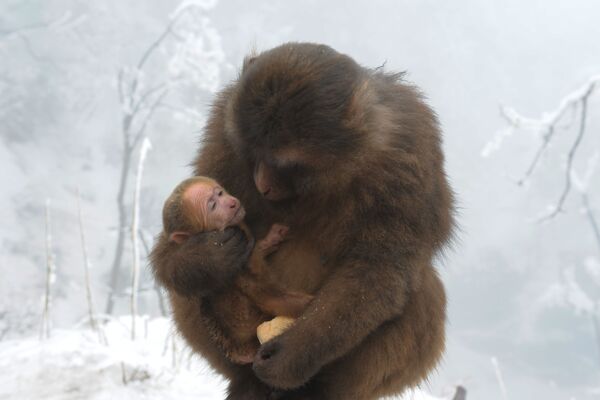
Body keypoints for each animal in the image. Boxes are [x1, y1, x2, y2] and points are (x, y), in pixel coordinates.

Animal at [154, 177, 314, 364]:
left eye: (220, 193)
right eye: (213, 205)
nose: (231, 203)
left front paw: (271, 239)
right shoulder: (237, 268)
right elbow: (267, 296)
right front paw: (309, 304)